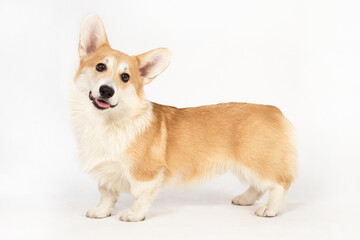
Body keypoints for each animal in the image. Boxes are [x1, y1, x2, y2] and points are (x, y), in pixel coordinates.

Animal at [70, 14, 298, 221]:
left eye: (125, 77)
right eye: (100, 67)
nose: (106, 91)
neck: (108, 121)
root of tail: (273, 111)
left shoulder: (145, 174)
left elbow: (140, 196)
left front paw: (134, 215)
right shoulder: (106, 172)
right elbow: (106, 195)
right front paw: (101, 212)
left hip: (255, 160)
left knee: (280, 183)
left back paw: (270, 209)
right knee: (259, 186)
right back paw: (245, 199)